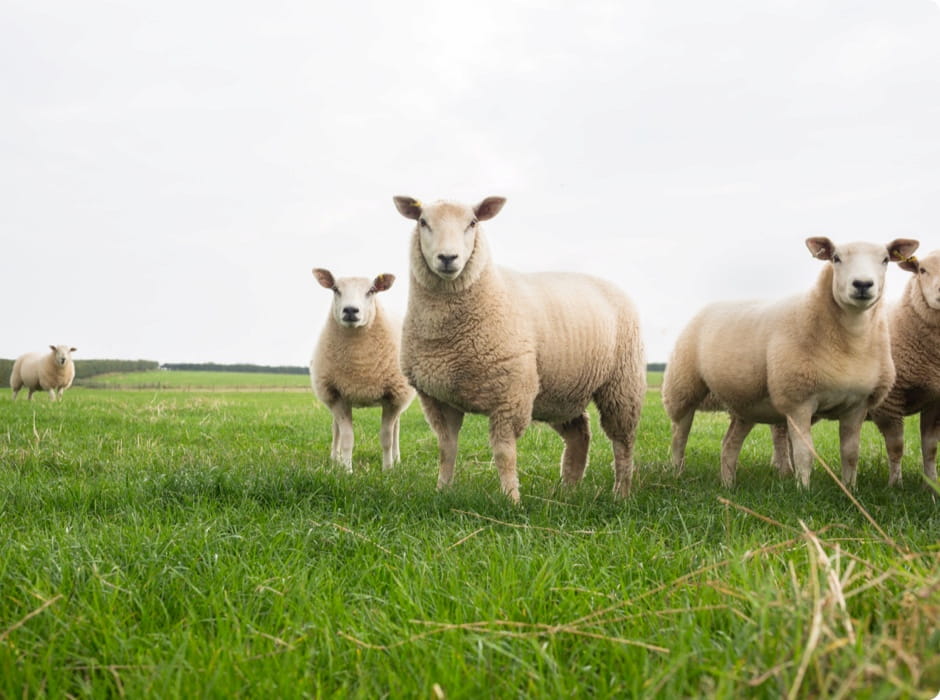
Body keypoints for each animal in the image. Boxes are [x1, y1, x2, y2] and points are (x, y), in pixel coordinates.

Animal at [308, 268, 414, 470]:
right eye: (335, 289)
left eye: (371, 290)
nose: (350, 310)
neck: (360, 366)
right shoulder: (337, 395)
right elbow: (347, 437)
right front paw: (346, 469)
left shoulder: (393, 397)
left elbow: (387, 438)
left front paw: (388, 469)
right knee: (336, 428)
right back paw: (335, 458)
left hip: (401, 396)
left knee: (396, 428)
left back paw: (396, 458)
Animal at [392, 196, 648, 504]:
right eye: (423, 222)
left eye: (472, 223)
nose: (448, 258)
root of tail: (610, 283)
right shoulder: (437, 398)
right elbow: (446, 449)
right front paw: (442, 491)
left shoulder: (510, 394)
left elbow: (504, 453)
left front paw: (512, 500)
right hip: (560, 391)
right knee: (579, 435)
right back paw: (568, 491)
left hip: (622, 383)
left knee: (622, 441)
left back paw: (621, 493)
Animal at [660, 238, 916, 490]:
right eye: (836, 258)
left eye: (885, 259)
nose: (862, 284)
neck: (851, 343)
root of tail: (709, 306)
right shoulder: (798, 402)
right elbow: (805, 453)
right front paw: (803, 490)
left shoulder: (857, 405)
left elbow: (851, 454)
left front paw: (849, 490)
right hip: (683, 386)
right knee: (679, 434)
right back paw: (676, 472)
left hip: (746, 403)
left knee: (729, 444)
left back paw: (728, 485)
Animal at [872, 250, 940, 486]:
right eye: (922, 270)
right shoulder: (890, 401)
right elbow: (896, 447)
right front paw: (895, 485)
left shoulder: (935, 400)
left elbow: (930, 448)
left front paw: (931, 483)